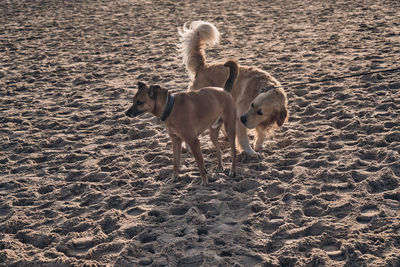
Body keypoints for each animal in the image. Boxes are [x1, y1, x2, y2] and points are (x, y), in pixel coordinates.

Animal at [178, 21, 288, 157]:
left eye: (260, 112)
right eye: (251, 104)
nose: (242, 119)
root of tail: (202, 66)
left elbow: (261, 133)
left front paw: (258, 146)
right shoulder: (240, 118)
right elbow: (244, 139)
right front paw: (250, 152)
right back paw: (187, 146)